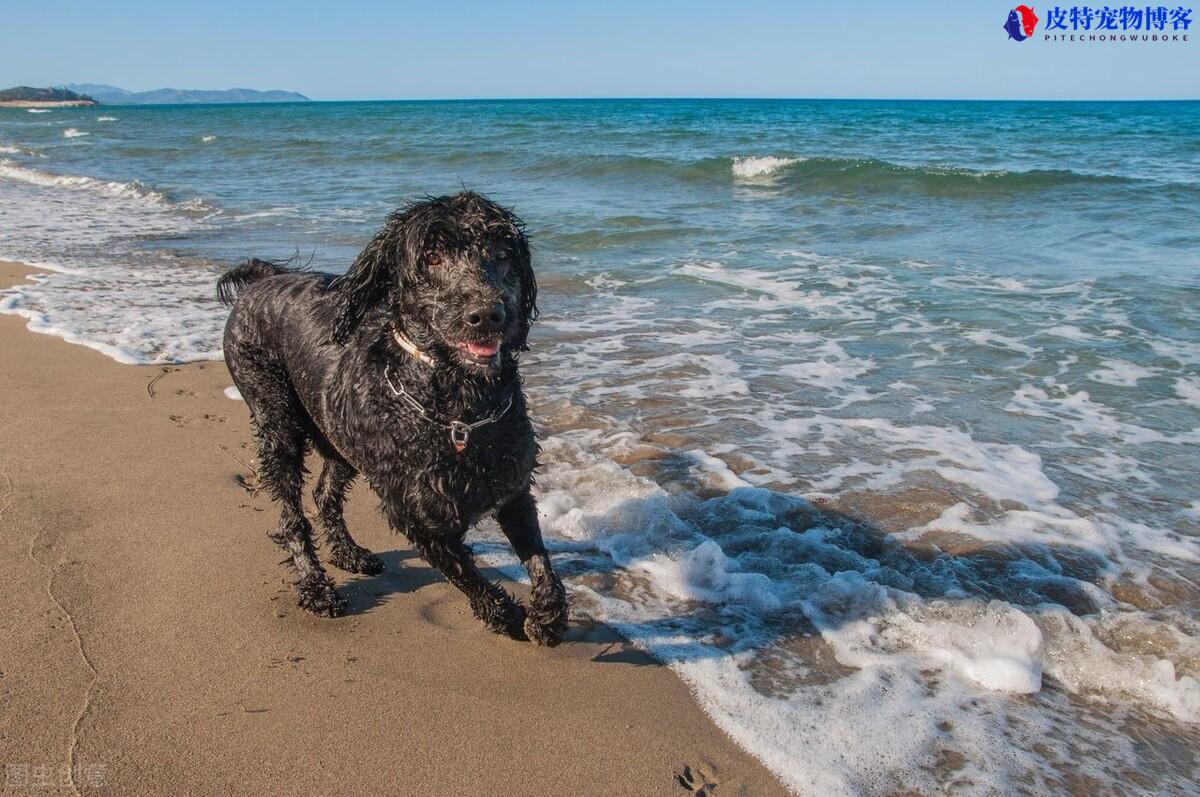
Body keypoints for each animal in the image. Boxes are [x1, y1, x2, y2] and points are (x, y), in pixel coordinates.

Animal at [217, 193, 566, 648]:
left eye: (504, 253)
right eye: (432, 257)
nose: (487, 314)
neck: (459, 409)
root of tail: (262, 280)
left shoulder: (512, 489)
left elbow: (540, 560)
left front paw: (548, 616)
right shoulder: (419, 520)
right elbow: (468, 578)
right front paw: (506, 618)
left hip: (337, 433)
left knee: (325, 494)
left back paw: (349, 553)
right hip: (275, 418)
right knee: (292, 516)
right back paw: (316, 587)